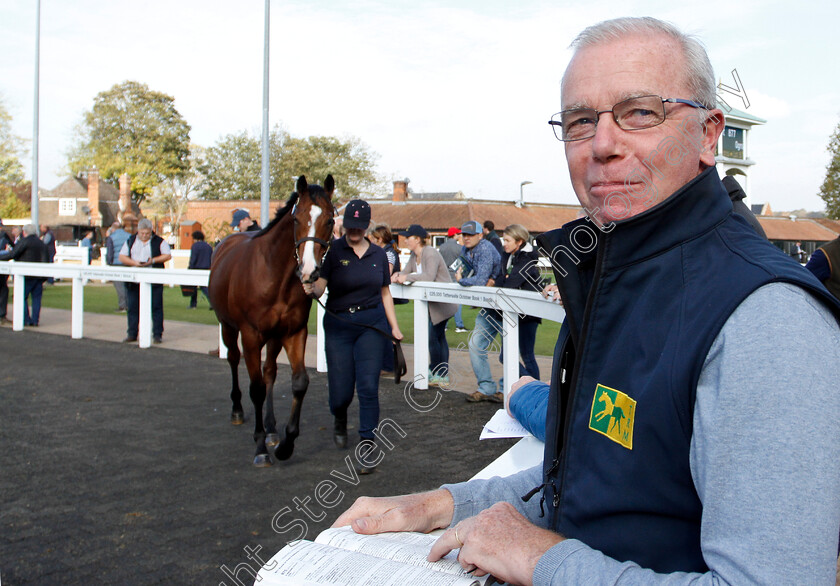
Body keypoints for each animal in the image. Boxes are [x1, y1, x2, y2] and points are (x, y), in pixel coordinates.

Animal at [207, 173, 334, 466]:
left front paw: (285, 443)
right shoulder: (251, 335)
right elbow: (255, 388)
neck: (275, 277)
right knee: (234, 359)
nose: (309, 272)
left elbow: (298, 383)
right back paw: (237, 411)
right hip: (228, 327)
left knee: (269, 373)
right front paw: (260, 448)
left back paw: (272, 428)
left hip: (274, 337)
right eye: (297, 218)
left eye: (331, 220)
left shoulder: (293, 332)